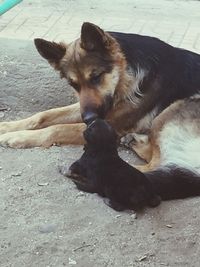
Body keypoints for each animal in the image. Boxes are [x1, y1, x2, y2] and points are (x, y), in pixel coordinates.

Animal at [0, 22, 200, 184]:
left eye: (96, 77)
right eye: (74, 85)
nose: (88, 118)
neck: (126, 75)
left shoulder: (105, 123)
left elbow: (57, 128)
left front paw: (18, 137)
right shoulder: (89, 108)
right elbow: (44, 115)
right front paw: (8, 126)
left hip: (173, 109)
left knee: (157, 164)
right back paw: (134, 141)